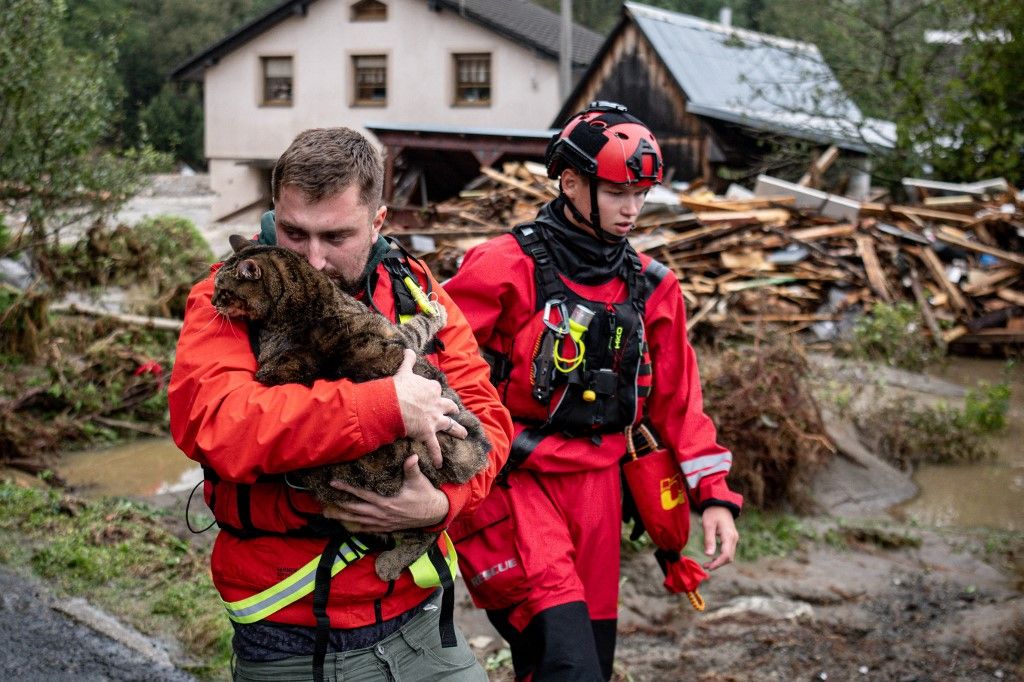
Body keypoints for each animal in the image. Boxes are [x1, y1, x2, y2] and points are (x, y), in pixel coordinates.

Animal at [209, 235, 489, 577]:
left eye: (223, 290)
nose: (212, 301)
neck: (303, 303)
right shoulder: (396, 334)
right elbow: (419, 327)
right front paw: (435, 313)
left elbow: (418, 327)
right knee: (426, 530)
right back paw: (389, 563)